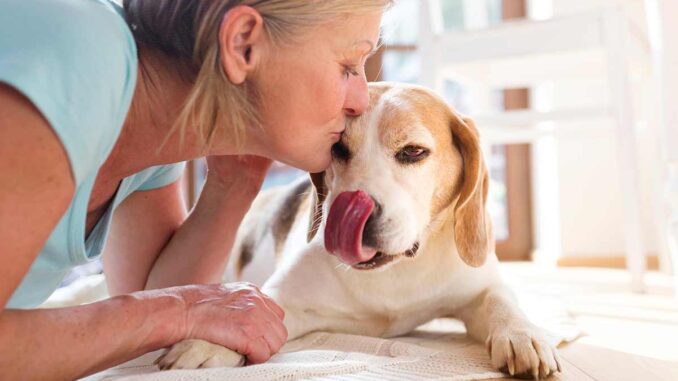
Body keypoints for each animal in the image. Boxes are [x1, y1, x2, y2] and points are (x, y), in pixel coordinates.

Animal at [158, 82, 564, 378]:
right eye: (337, 148)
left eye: (413, 151)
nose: (357, 217)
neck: (398, 270)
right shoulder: (286, 296)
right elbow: (254, 308)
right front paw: (212, 342)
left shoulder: (479, 288)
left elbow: (501, 301)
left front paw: (523, 336)